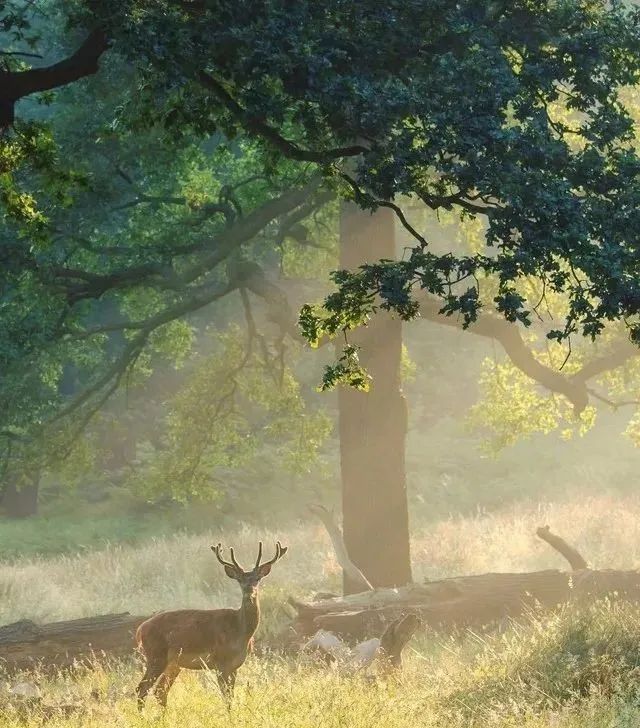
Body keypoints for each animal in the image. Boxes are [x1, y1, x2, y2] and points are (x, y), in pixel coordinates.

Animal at [135, 540, 288, 704]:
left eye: (257, 579)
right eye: (239, 580)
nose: (249, 591)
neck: (240, 631)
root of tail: (141, 629)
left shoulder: (235, 665)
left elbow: (230, 695)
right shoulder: (221, 661)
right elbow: (226, 697)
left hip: (173, 663)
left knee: (160, 691)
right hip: (156, 656)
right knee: (142, 689)